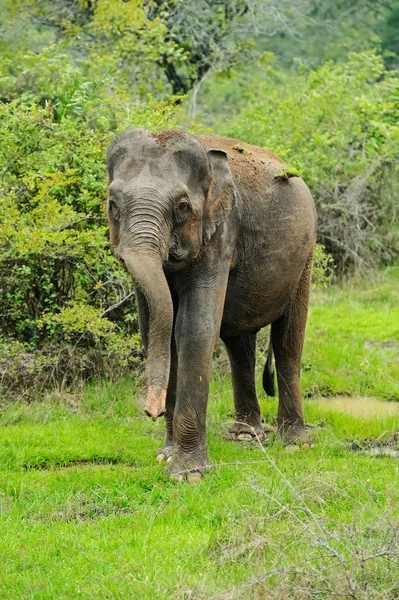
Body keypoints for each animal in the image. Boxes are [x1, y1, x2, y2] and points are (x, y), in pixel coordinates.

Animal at [108, 127, 318, 482]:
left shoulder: (220, 235)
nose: (151, 410)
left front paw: (188, 475)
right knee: (239, 344)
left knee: (288, 342)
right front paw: (165, 456)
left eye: (182, 206)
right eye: (113, 205)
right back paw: (246, 435)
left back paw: (293, 444)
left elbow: (193, 329)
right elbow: (155, 330)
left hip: (305, 257)